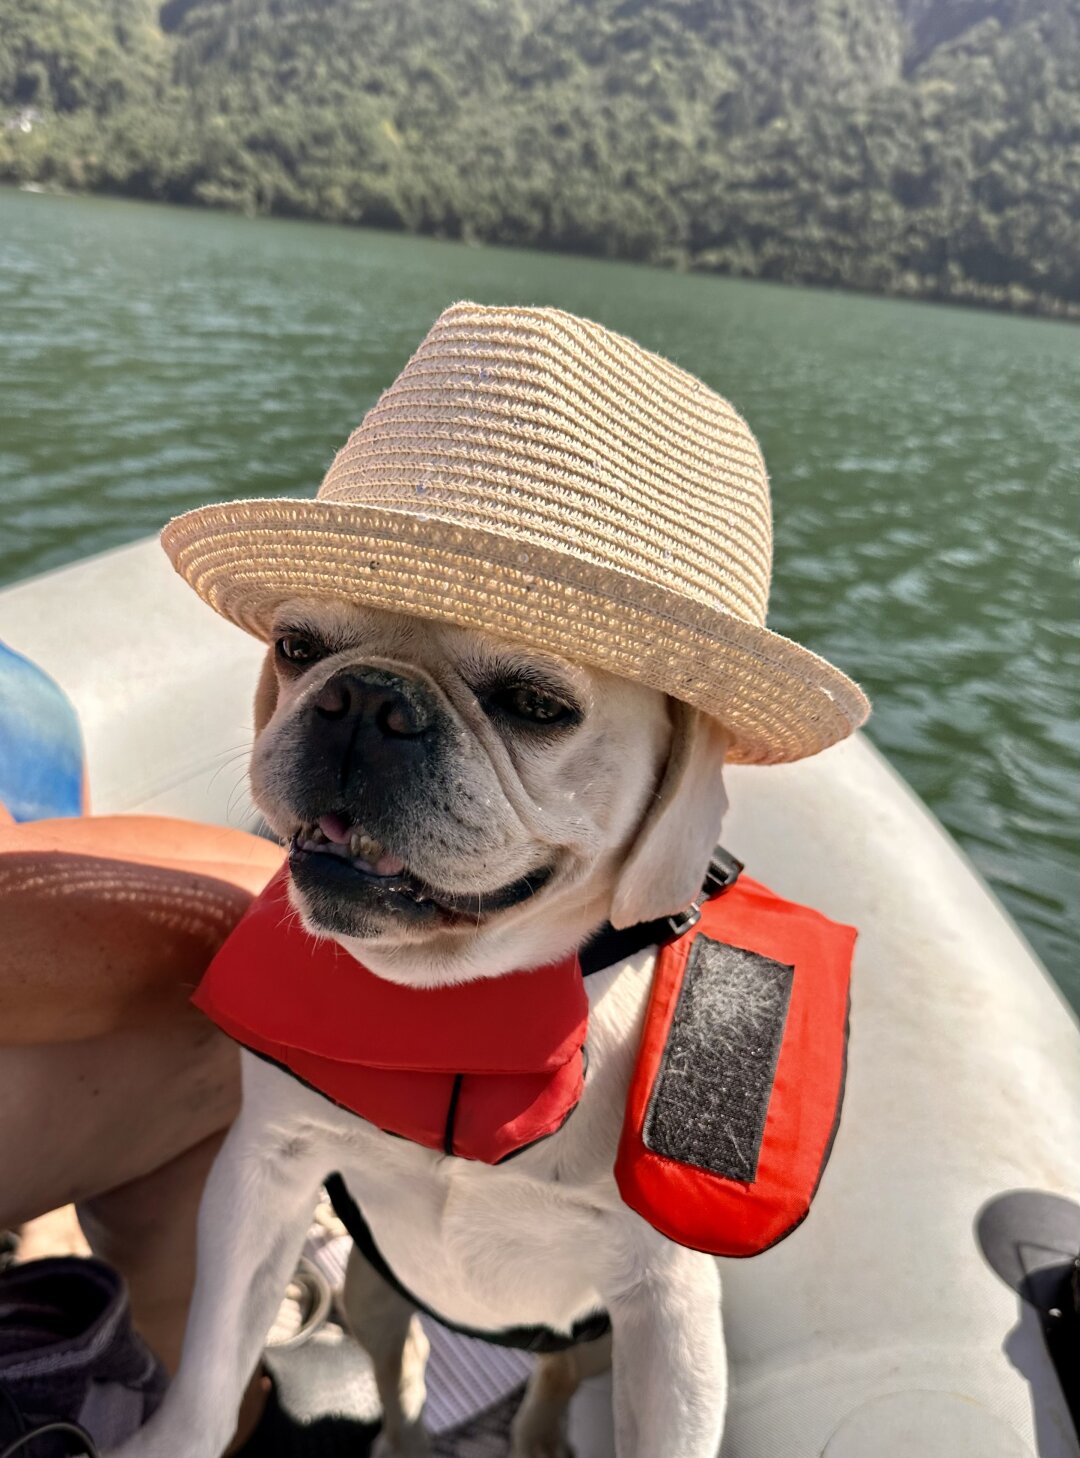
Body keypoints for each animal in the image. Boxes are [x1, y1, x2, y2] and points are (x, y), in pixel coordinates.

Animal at [111, 594, 731, 1458]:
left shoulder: (669, 1309)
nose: (366, 698)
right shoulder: (264, 1173)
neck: (453, 987)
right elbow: (213, 1358)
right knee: (399, 1377)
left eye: (537, 705)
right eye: (294, 648)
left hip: (596, 1343)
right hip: (372, 1294)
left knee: (554, 1374)